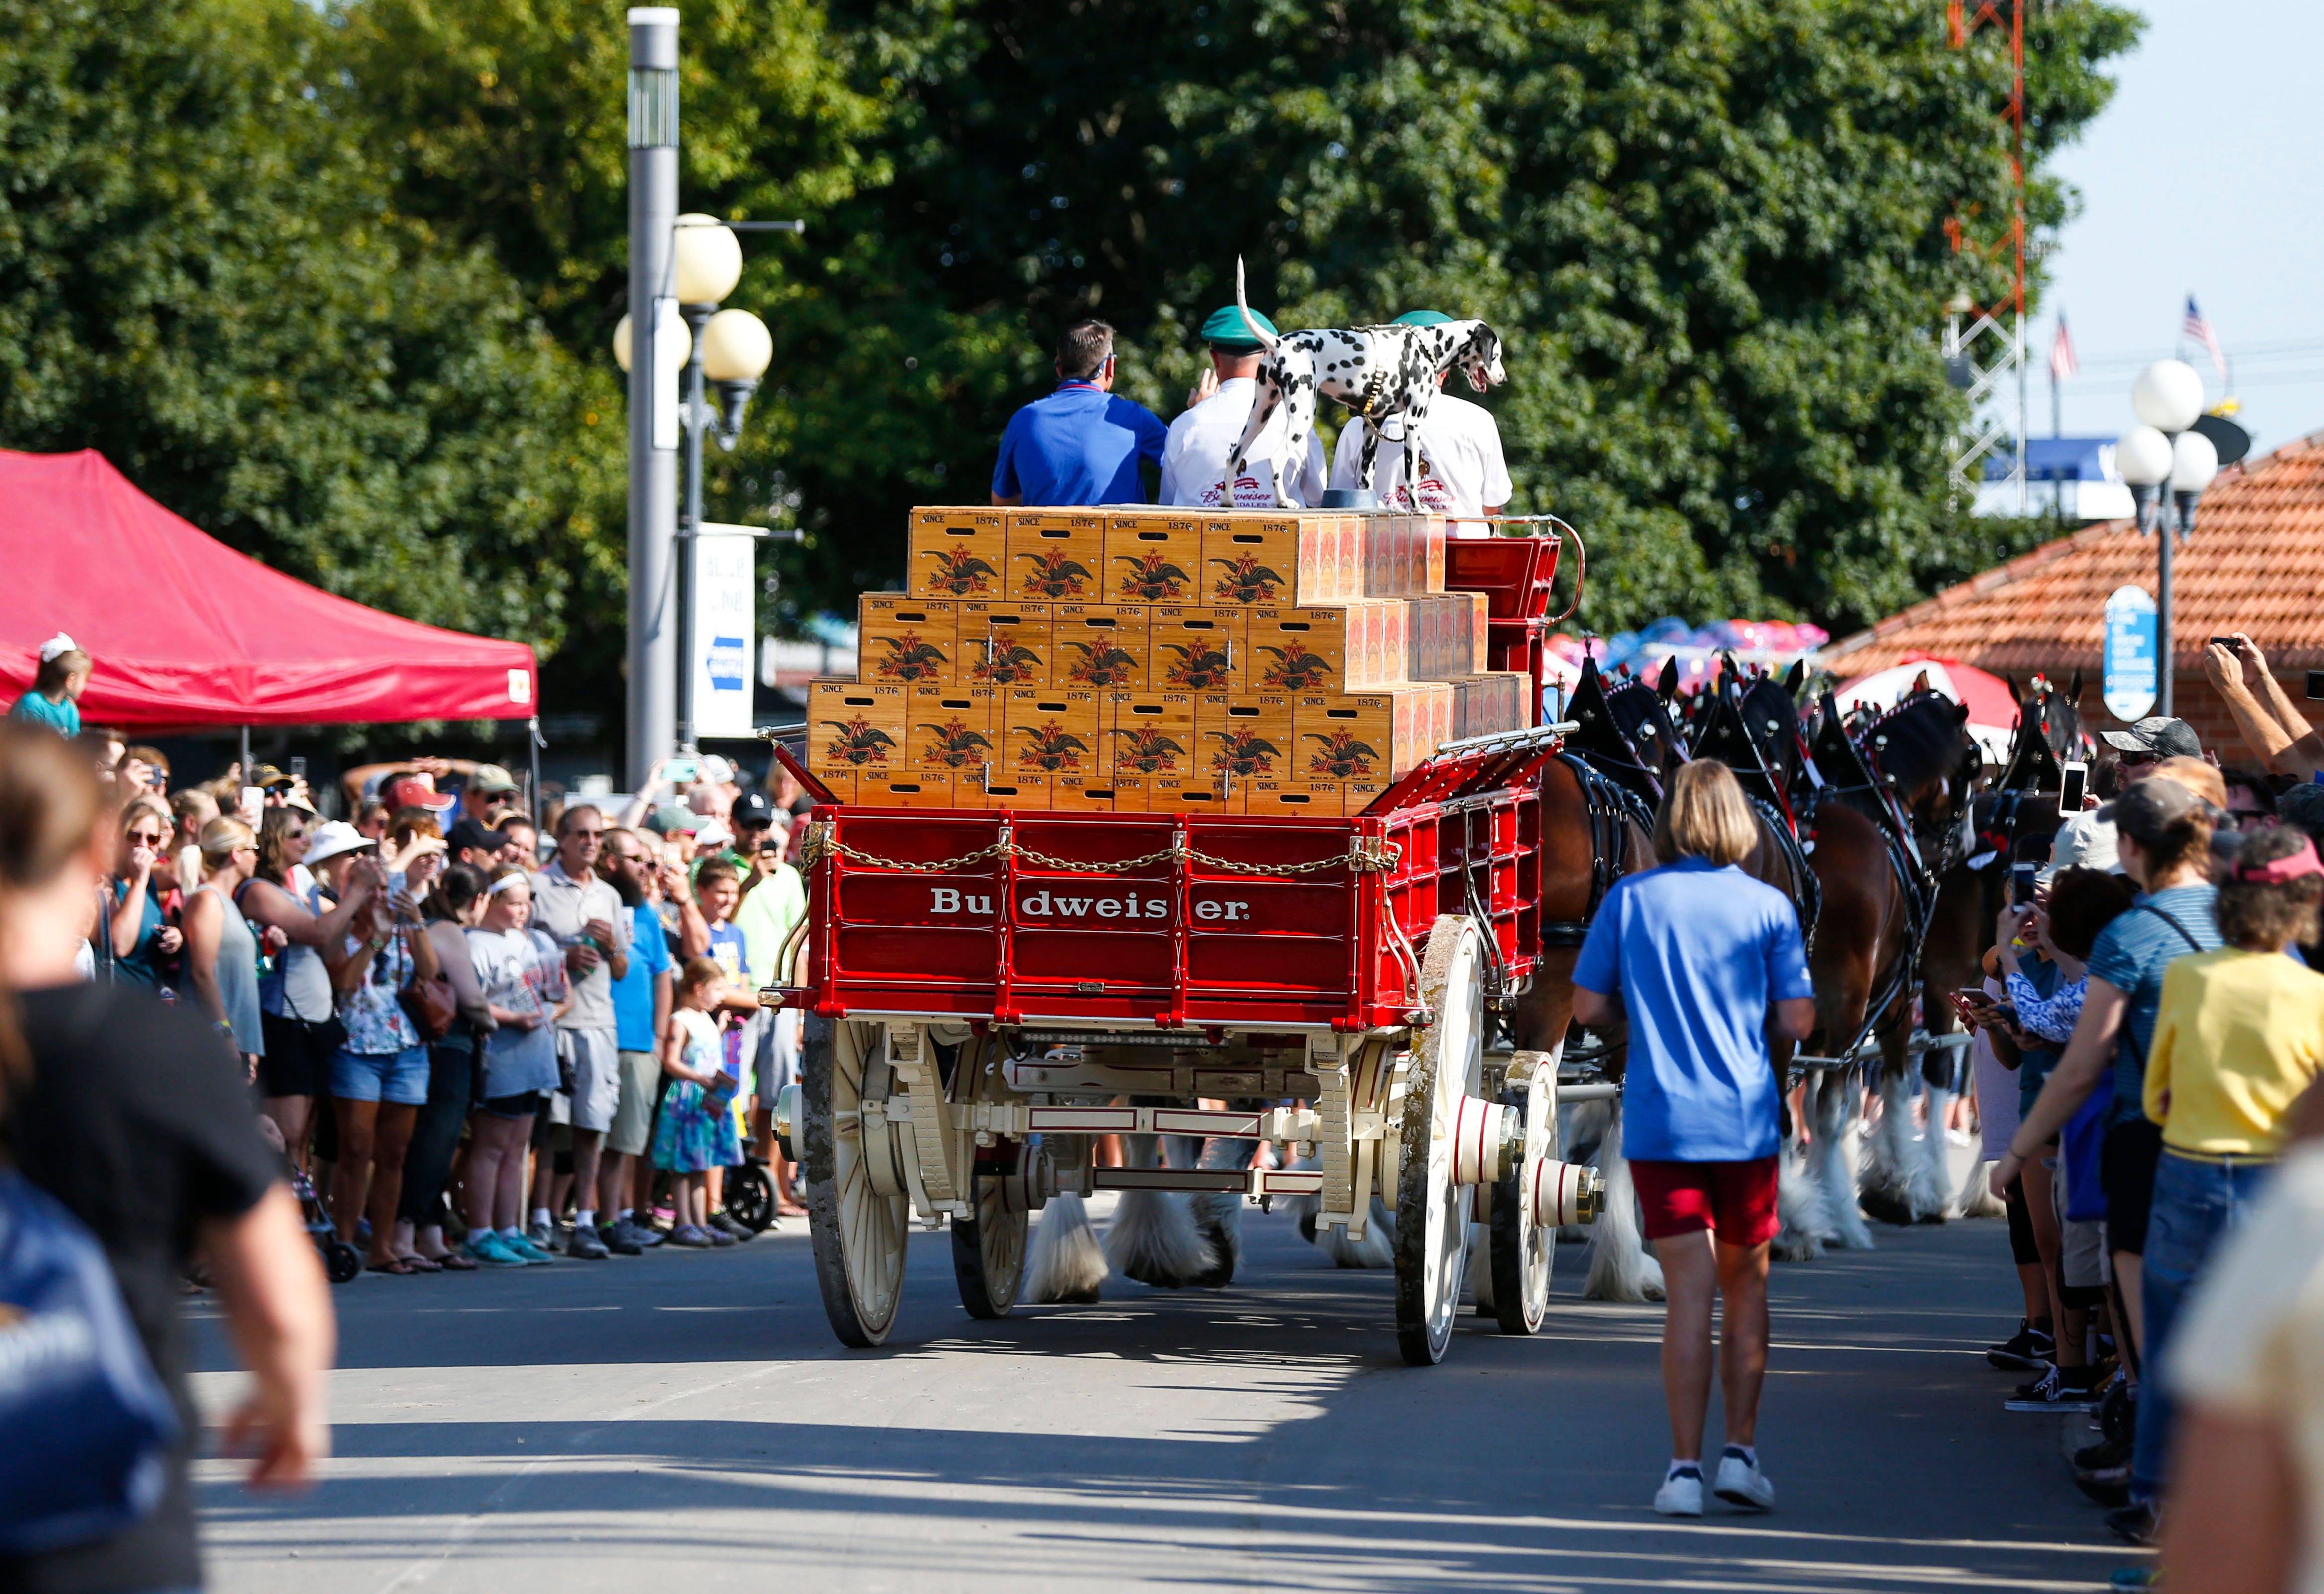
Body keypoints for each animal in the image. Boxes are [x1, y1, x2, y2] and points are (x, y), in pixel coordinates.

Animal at [1218, 255, 1506, 509]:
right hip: (1302, 417)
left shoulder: (1371, 427)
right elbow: (1412, 477)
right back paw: (1284, 502)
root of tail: (1279, 343)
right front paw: (1418, 507)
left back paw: (1229, 501)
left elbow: (1366, 480)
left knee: (1233, 458)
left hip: (1259, 416)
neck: (1429, 345)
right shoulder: (1412, 423)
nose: (1504, 379)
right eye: (1497, 355)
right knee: (1277, 461)